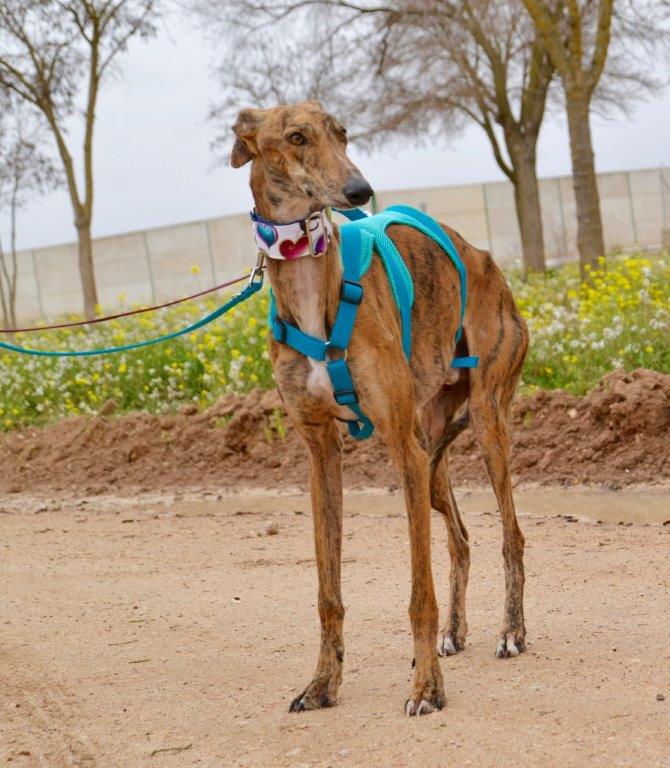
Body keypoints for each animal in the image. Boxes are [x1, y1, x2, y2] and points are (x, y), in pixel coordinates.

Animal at [231, 100, 532, 712]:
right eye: (296, 137)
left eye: (342, 133)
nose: (359, 190)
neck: (312, 287)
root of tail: (488, 260)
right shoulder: (322, 455)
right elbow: (327, 592)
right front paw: (322, 684)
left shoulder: (400, 449)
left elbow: (419, 593)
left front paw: (426, 689)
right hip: (430, 454)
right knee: (460, 539)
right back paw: (455, 633)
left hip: (482, 423)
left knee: (510, 534)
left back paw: (511, 632)